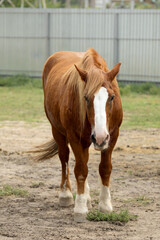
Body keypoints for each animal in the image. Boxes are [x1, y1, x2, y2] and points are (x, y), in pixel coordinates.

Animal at [34, 47, 122, 222]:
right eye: (86, 98)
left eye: (112, 97)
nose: (100, 138)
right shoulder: (75, 137)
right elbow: (80, 170)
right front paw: (80, 208)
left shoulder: (112, 136)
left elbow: (105, 168)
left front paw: (105, 205)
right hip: (58, 131)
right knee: (65, 159)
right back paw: (66, 195)